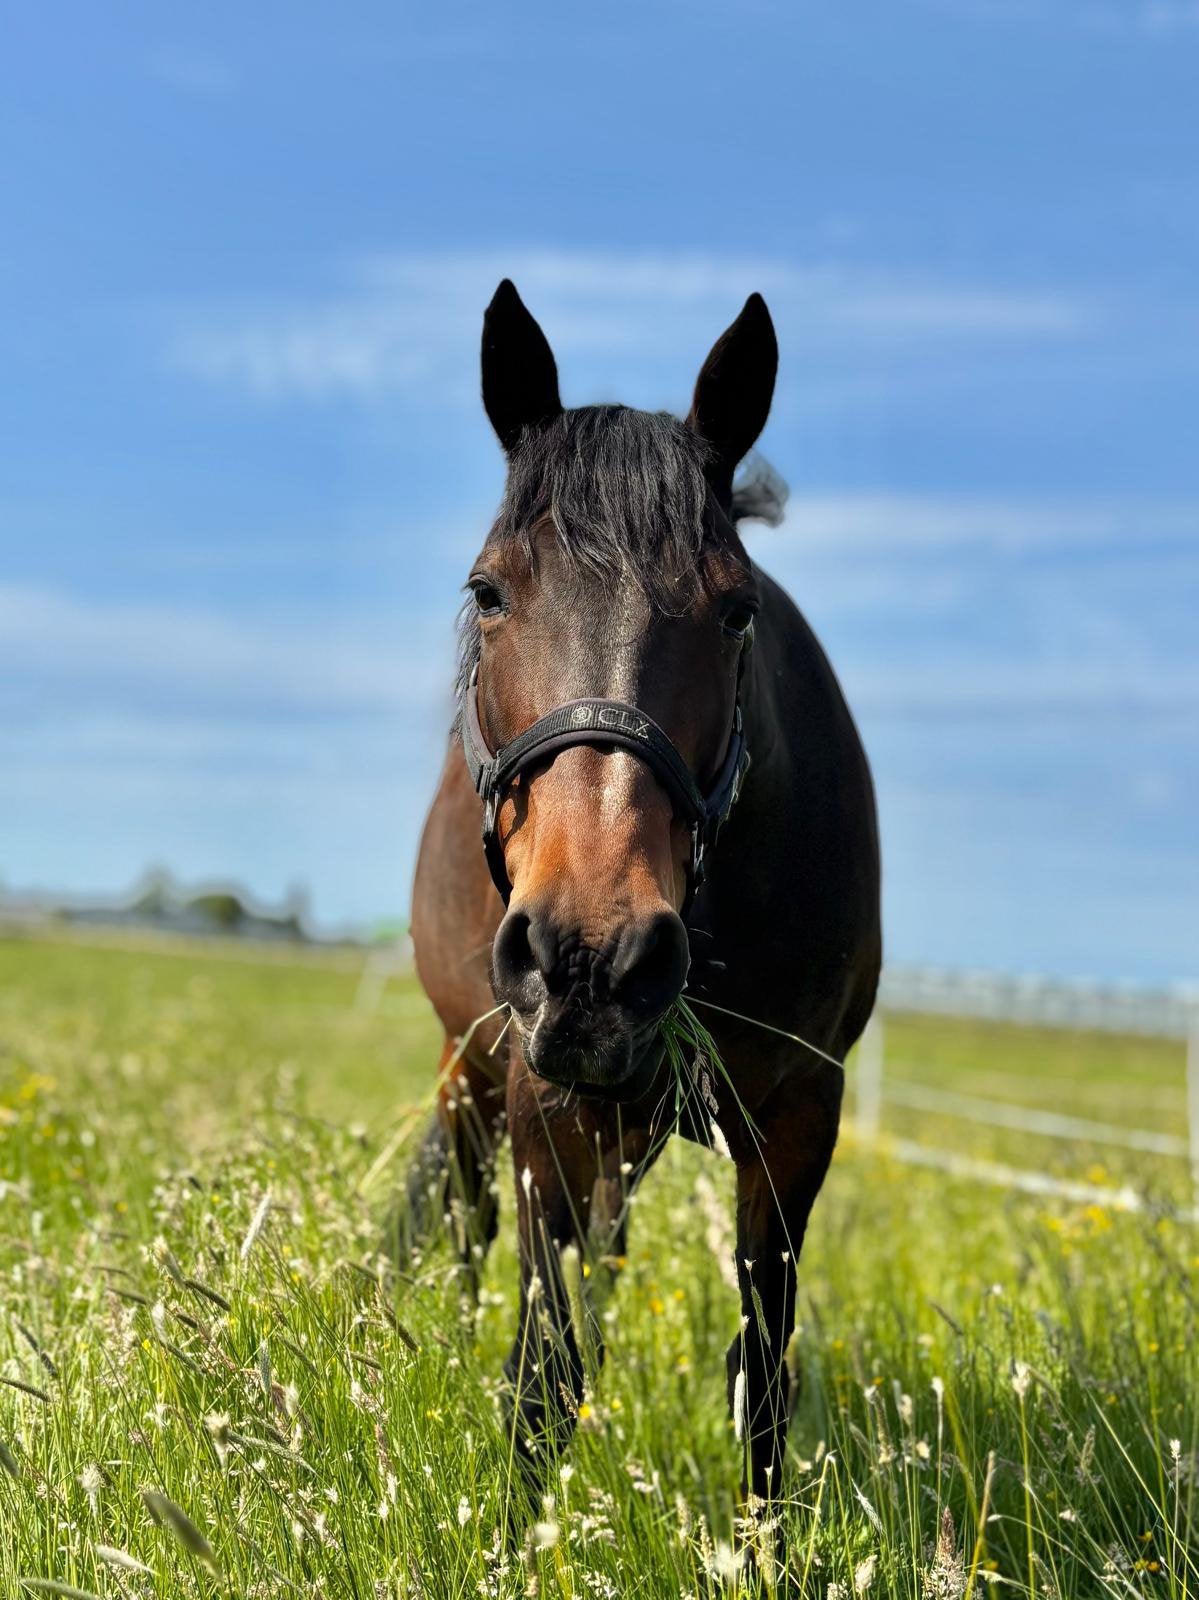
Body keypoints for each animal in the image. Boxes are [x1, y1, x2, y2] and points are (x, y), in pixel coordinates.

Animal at [404, 279, 881, 1529]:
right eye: (488, 591)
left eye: (734, 611)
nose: (589, 955)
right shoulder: (538, 1100)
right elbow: (539, 1372)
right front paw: (516, 1546)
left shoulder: (799, 1114)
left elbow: (761, 1373)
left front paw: (766, 1551)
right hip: (468, 1065)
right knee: (468, 1226)